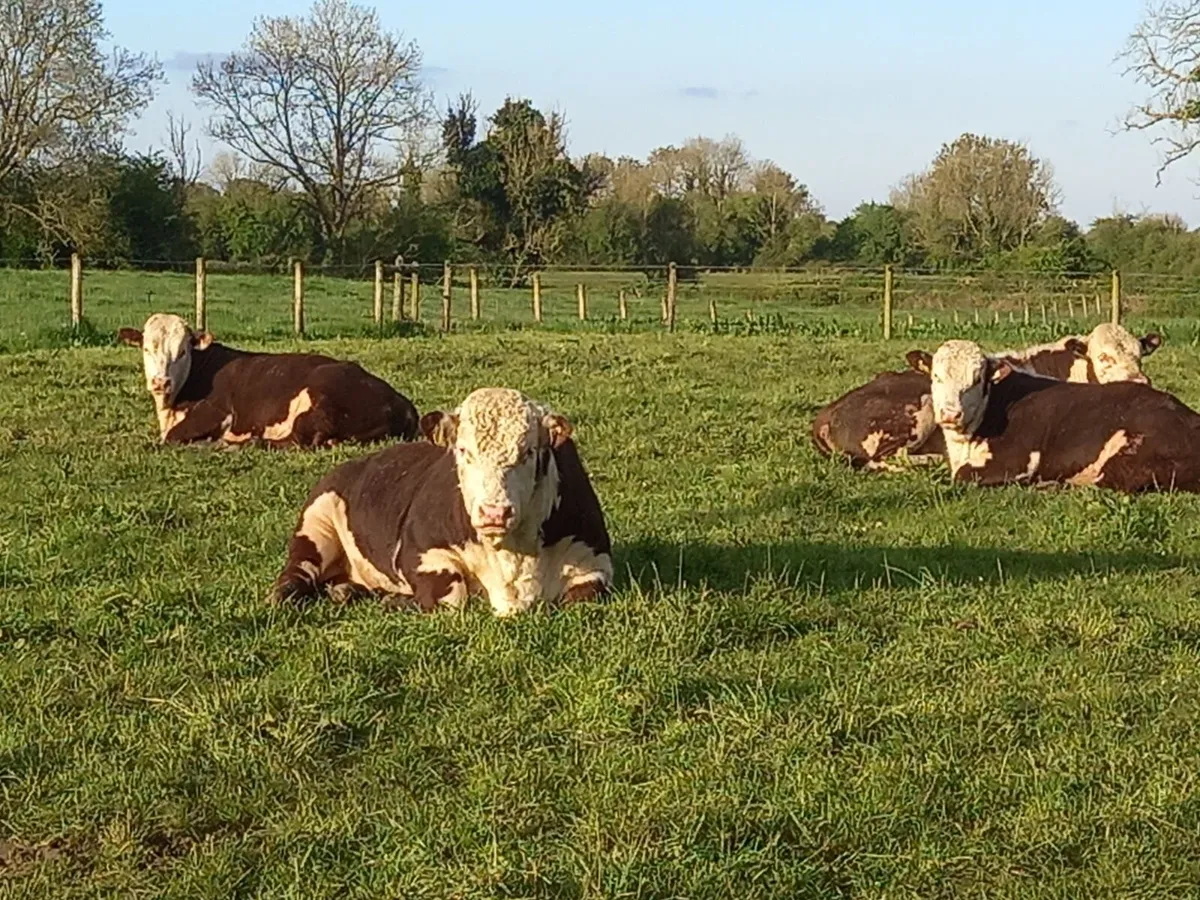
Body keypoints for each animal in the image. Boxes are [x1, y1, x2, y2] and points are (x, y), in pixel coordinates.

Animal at [118, 313, 419, 448]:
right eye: (147, 349)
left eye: (182, 351)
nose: (161, 382)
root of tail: (402, 403)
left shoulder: (217, 412)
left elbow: (171, 438)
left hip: (317, 400)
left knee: (294, 441)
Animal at [270, 387, 613, 616]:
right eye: (463, 451)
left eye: (528, 451)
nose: (494, 513)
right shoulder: (420, 551)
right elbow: (452, 597)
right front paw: (399, 600)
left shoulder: (595, 560)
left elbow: (584, 598)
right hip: (315, 524)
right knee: (298, 572)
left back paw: (346, 590)